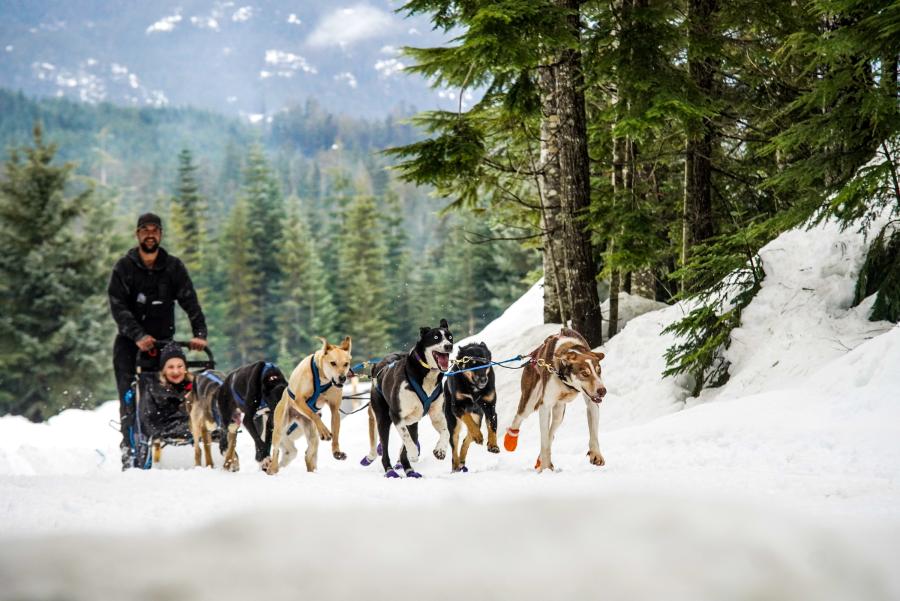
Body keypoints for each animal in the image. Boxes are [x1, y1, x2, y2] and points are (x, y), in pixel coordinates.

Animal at [360, 316, 454, 476]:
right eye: (436, 338)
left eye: (450, 337)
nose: (449, 346)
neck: (425, 375)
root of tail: (378, 367)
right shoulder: (396, 415)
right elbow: (406, 439)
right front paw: (413, 453)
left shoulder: (436, 414)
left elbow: (445, 432)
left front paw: (440, 450)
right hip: (384, 420)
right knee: (385, 449)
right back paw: (390, 470)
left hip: (412, 422)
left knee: (412, 438)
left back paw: (409, 470)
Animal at [442, 340, 500, 472]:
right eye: (472, 364)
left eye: (485, 362)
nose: (483, 380)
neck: (474, 389)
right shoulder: (457, 407)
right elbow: (468, 420)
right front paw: (479, 435)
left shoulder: (490, 407)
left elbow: (492, 425)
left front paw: (493, 444)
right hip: (453, 423)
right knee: (455, 445)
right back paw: (456, 465)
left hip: (478, 416)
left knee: (467, 439)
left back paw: (463, 459)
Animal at [502, 326, 608, 472]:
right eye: (584, 373)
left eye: (598, 371)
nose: (602, 391)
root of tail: (533, 356)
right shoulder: (545, 406)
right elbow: (544, 441)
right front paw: (545, 466)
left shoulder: (592, 402)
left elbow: (594, 432)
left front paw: (596, 454)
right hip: (530, 401)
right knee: (519, 418)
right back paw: (510, 441)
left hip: (559, 412)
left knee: (551, 432)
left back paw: (540, 458)